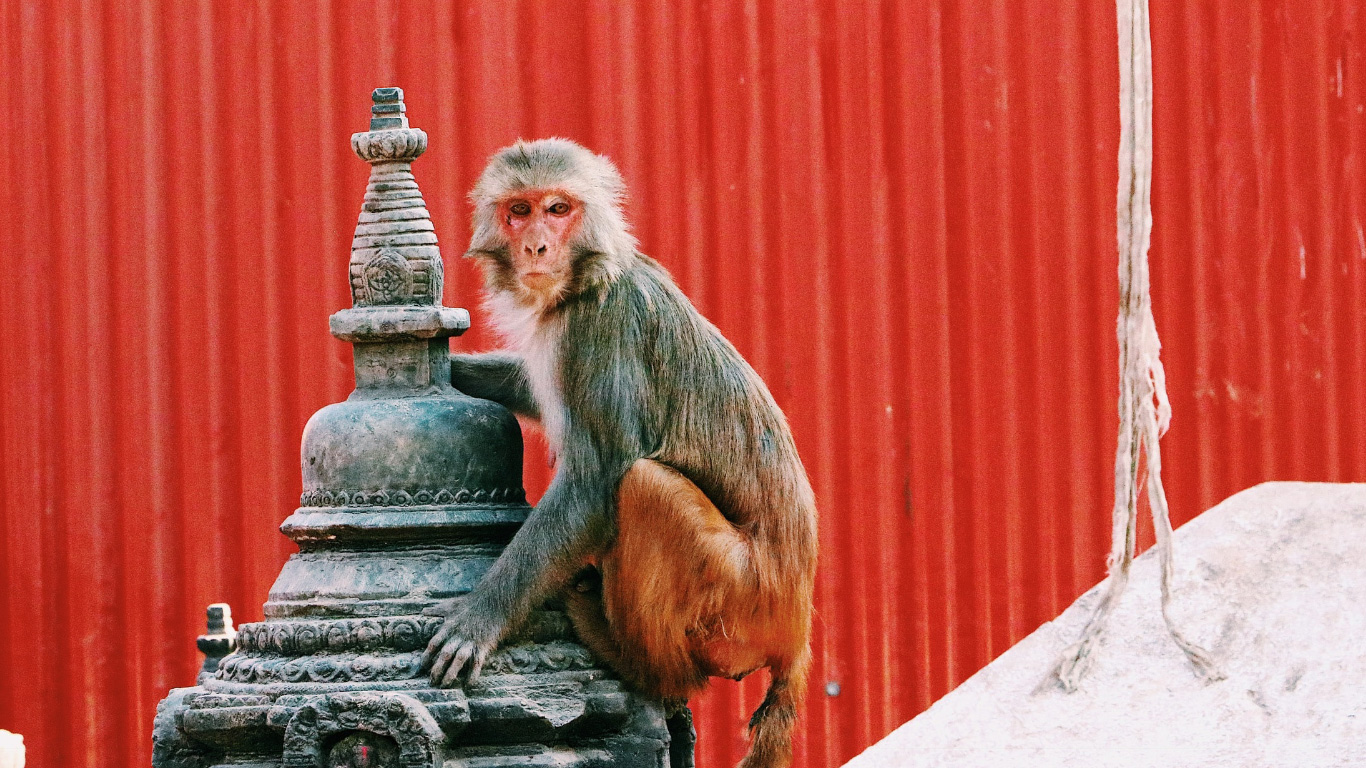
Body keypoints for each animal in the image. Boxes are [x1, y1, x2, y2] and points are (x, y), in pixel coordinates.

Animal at [420, 137, 814, 765]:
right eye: (519, 211)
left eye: (559, 209)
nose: (536, 245)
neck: (584, 282)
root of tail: (795, 628)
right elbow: (529, 385)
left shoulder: (602, 328)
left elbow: (598, 478)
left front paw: (480, 618)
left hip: (740, 606)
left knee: (645, 485)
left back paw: (644, 668)